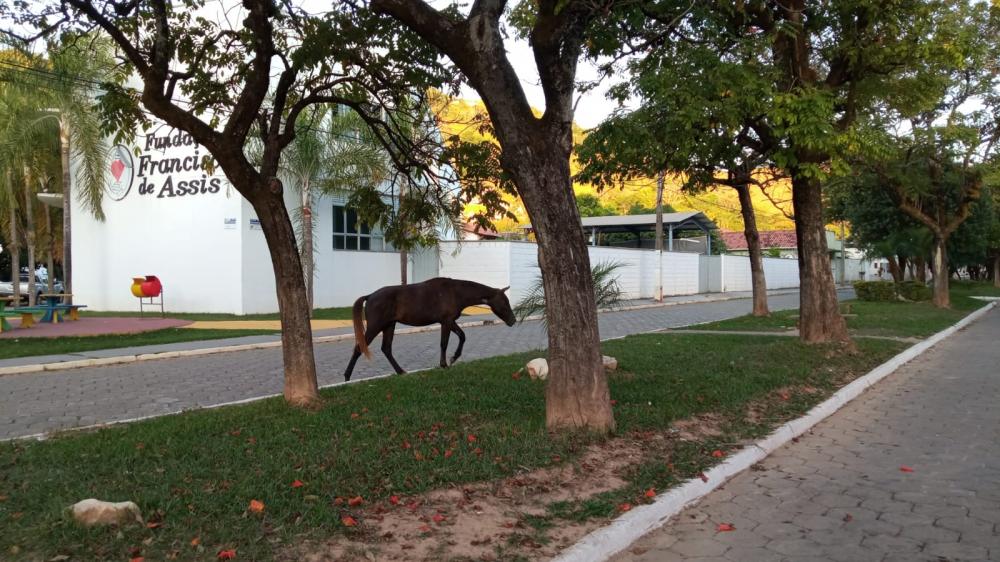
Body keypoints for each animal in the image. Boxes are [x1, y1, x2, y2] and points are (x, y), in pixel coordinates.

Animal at [343, 277, 517, 381]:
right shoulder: (446, 322)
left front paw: (452, 359)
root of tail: (370, 296)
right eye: (504, 302)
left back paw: (401, 371)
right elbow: (445, 343)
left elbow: (461, 337)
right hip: (376, 326)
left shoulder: (449, 322)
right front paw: (446, 363)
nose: (513, 321)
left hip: (389, 326)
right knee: (359, 348)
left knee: (386, 349)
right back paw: (347, 377)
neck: (455, 292)